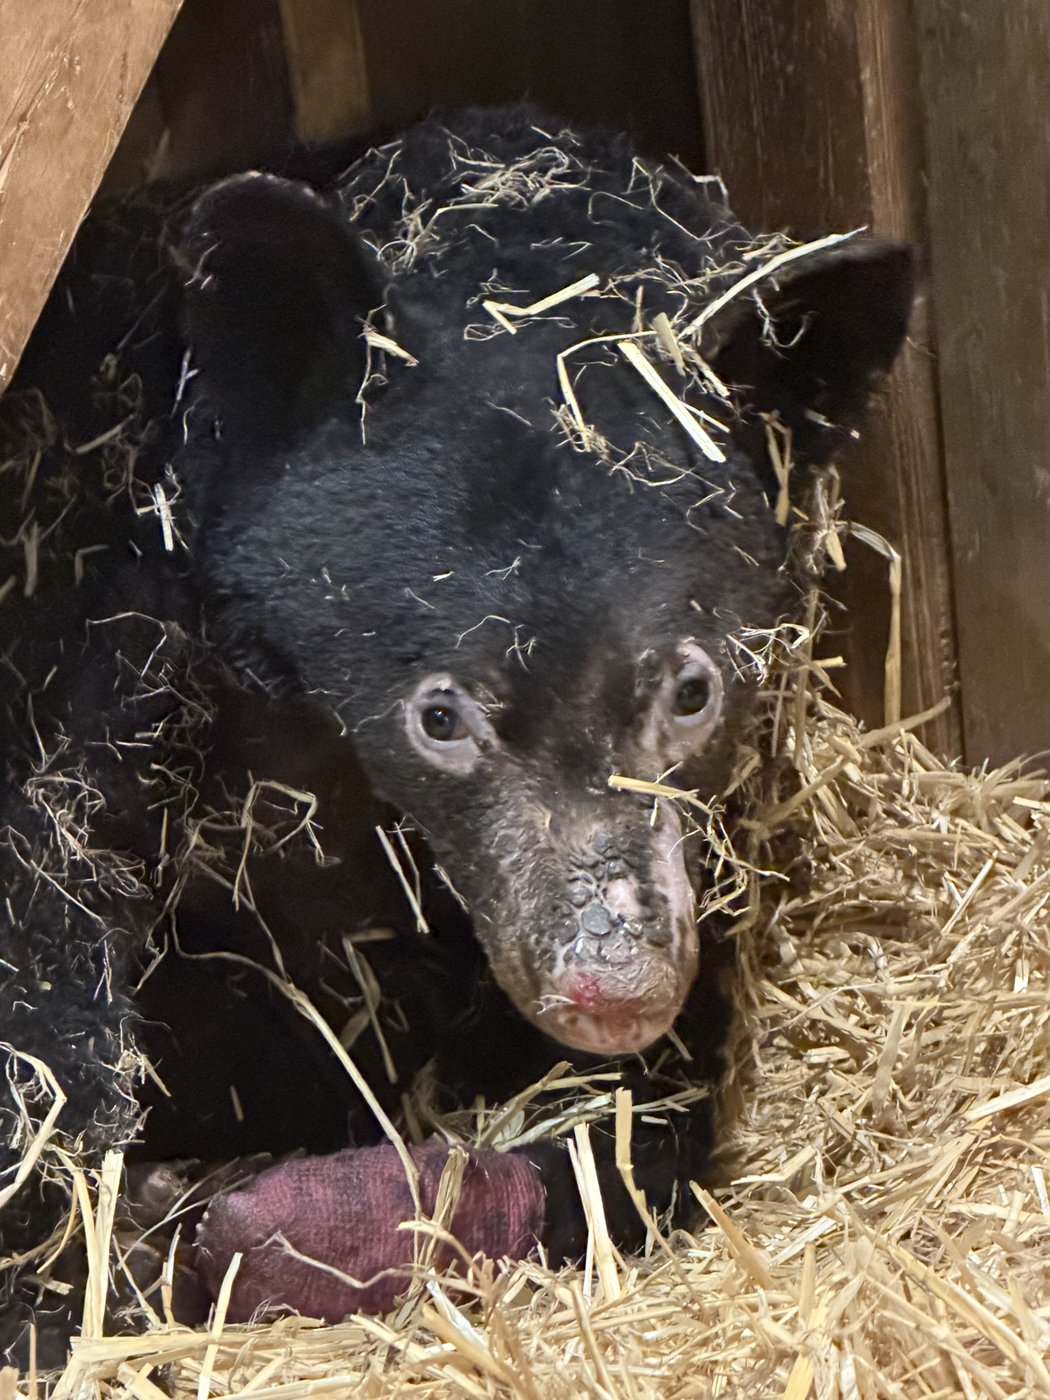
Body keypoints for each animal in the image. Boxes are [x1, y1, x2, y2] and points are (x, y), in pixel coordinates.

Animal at [0, 105, 912, 1355]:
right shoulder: (103, 635)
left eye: (692, 690)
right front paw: (81, 1265)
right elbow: (47, 899)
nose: (611, 983)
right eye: (439, 715)